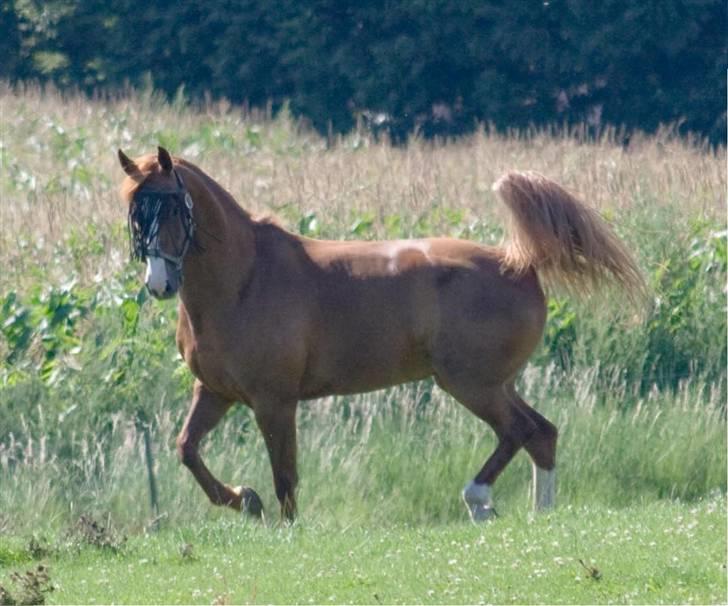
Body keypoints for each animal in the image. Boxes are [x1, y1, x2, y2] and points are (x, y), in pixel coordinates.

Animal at [118, 147, 644, 524]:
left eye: (172, 207)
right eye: (135, 215)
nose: (159, 285)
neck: (243, 280)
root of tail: (519, 263)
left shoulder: (275, 401)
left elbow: (285, 477)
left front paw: (282, 526)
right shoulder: (215, 392)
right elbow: (187, 449)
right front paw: (244, 499)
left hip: (471, 384)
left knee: (520, 431)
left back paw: (480, 501)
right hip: (495, 383)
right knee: (542, 433)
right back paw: (539, 515)